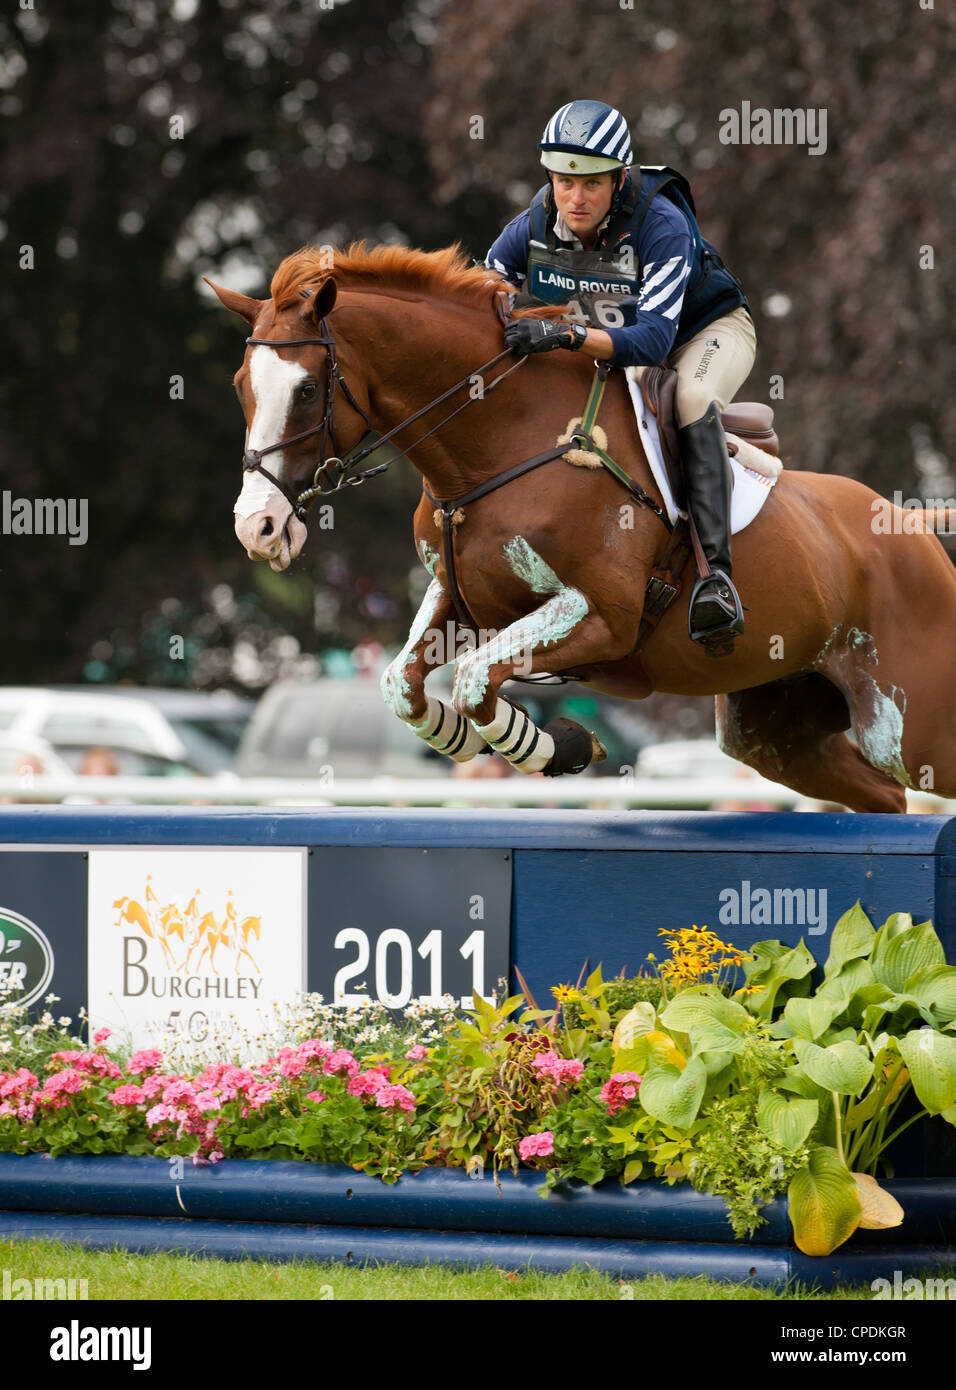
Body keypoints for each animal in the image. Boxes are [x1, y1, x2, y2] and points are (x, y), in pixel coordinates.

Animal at [208, 244, 955, 811]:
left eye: (307, 390)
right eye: (241, 386)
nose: (256, 527)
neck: (501, 440)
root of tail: (909, 523)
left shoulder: (601, 615)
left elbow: (475, 679)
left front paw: (558, 746)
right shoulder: (459, 600)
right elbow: (404, 686)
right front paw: (491, 747)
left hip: (909, 726)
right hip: (777, 728)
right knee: (882, 798)